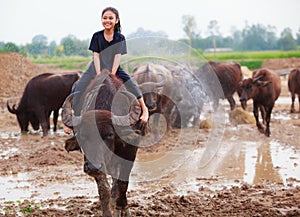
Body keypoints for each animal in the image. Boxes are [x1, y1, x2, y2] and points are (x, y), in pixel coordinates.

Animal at [61, 73, 145, 216]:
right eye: (82, 136)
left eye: (110, 134)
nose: (92, 167)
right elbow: (103, 189)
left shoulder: (130, 153)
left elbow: (122, 183)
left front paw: (122, 208)